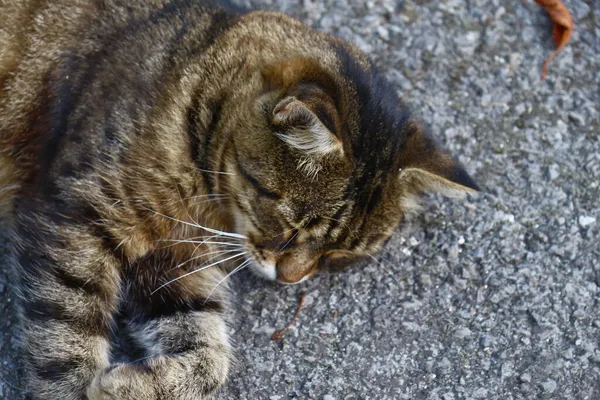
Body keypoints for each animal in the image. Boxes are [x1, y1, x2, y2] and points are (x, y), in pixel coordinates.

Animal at [0, 0, 478, 400]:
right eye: (292, 227)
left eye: (339, 255)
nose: (290, 280)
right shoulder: (75, 216)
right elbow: (66, 340)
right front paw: (78, 388)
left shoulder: (173, 262)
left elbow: (210, 356)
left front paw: (137, 384)